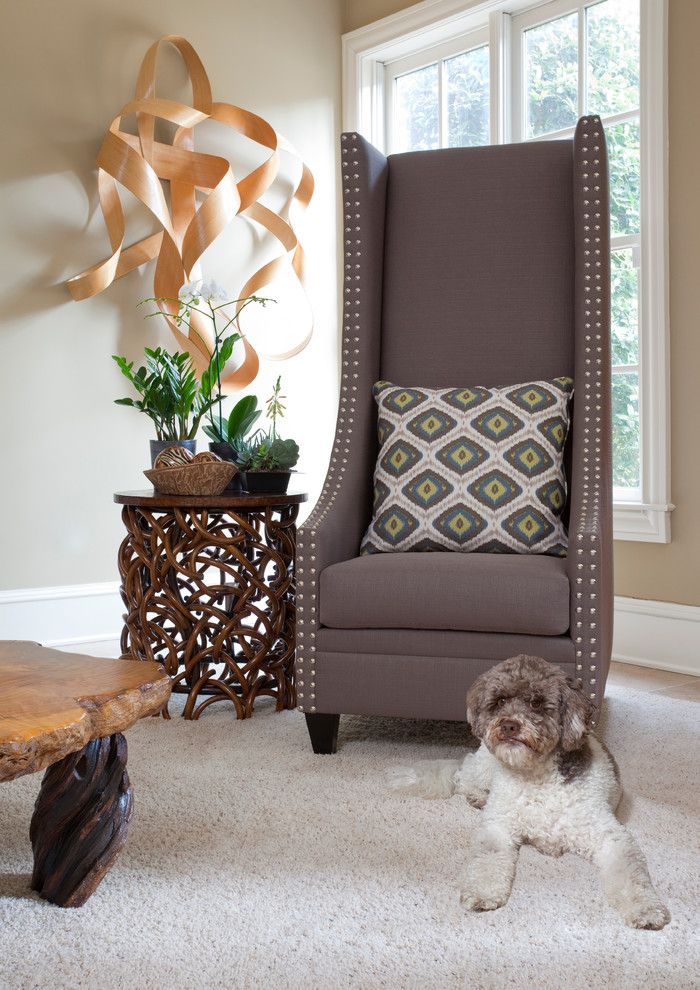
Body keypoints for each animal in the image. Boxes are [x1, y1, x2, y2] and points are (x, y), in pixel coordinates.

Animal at [392, 660, 668, 928]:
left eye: (536, 703)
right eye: (500, 701)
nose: (508, 725)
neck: (536, 779)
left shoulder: (610, 836)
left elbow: (631, 874)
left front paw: (646, 910)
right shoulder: (499, 827)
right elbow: (487, 860)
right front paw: (483, 894)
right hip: (485, 766)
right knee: (462, 776)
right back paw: (478, 796)